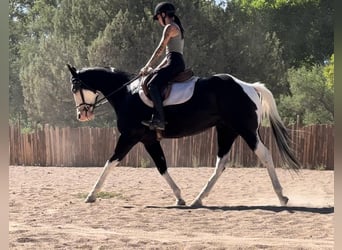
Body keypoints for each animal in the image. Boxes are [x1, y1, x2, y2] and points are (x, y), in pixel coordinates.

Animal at [67, 64, 300, 207]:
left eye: (74, 88)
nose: (81, 114)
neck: (126, 94)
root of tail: (248, 86)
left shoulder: (129, 136)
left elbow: (110, 163)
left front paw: (91, 195)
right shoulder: (149, 140)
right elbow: (162, 166)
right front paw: (179, 197)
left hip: (246, 131)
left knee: (265, 155)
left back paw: (282, 196)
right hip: (227, 130)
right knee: (221, 164)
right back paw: (198, 199)